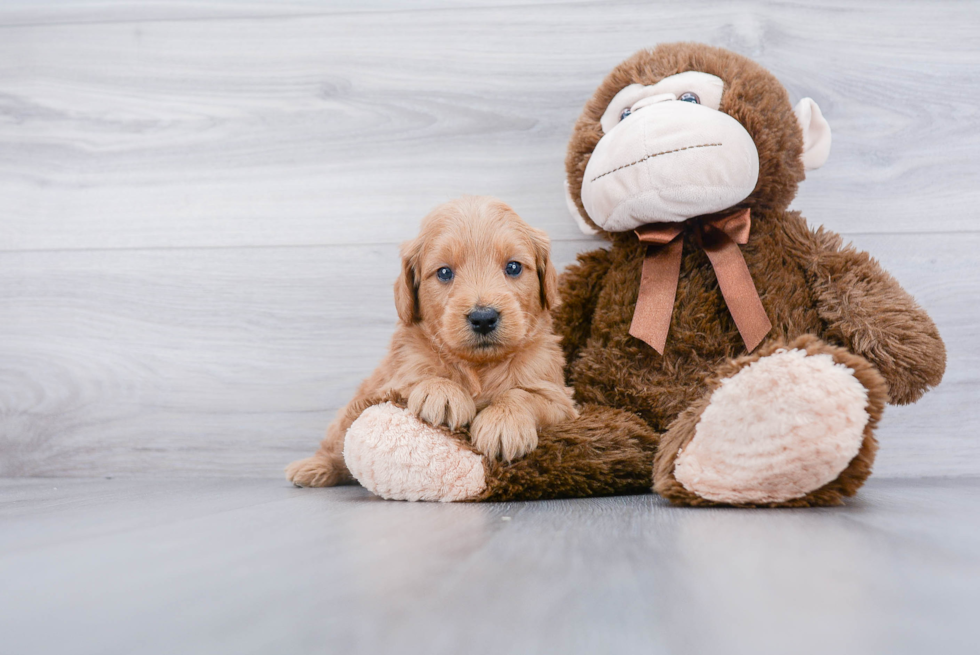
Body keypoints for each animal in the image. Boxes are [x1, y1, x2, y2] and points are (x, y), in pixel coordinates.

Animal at [284, 195, 580, 486]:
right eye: (444, 273)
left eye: (514, 267)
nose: (483, 318)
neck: (478, 366)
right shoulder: (393, 379)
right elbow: (421, 374)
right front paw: (442, 392)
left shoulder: (560, 399)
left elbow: (523, 394)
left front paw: (504, 423)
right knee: (336, 445)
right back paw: (313, 467)